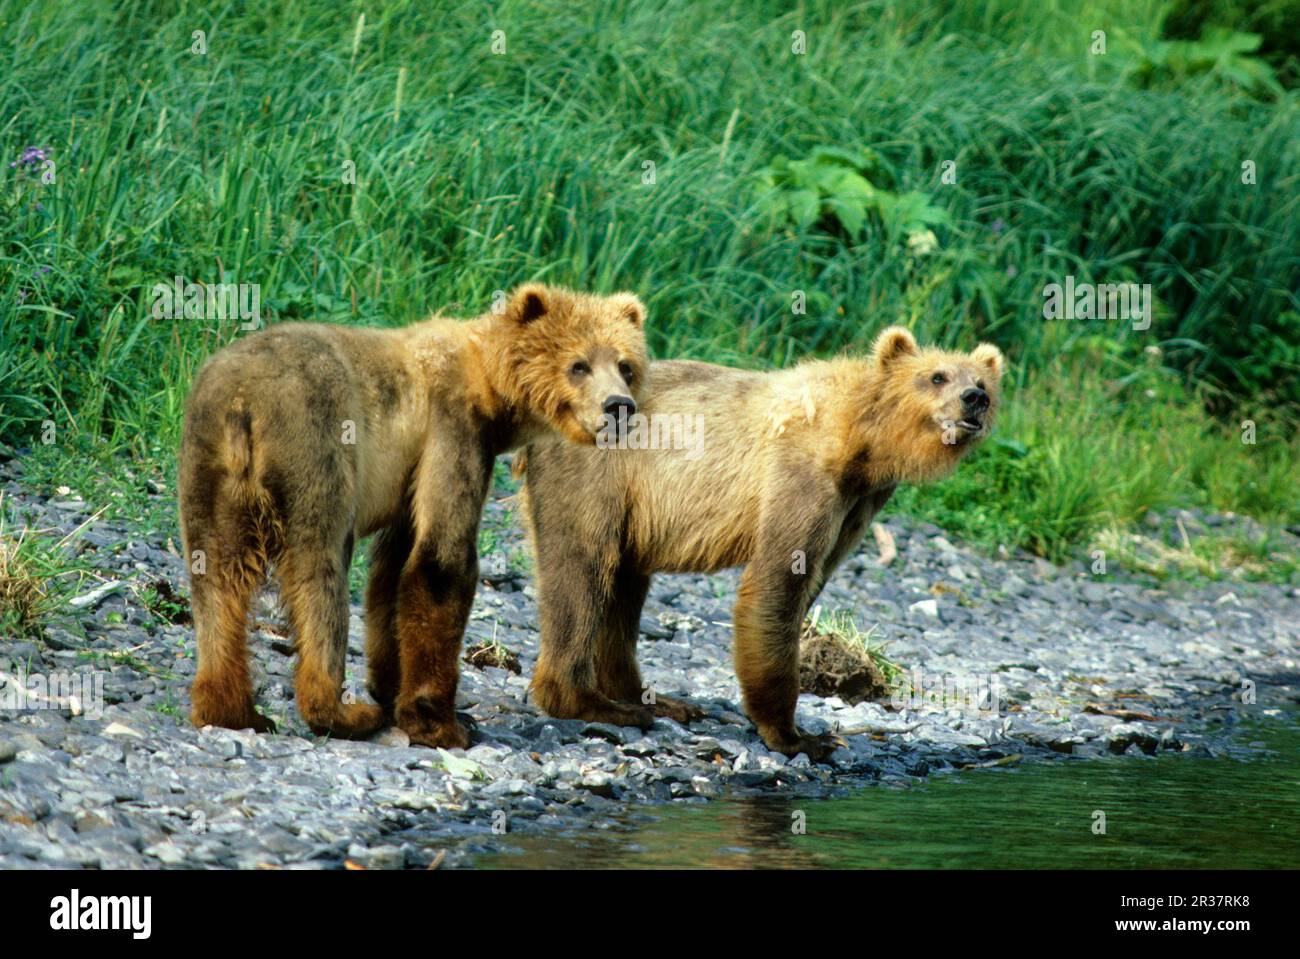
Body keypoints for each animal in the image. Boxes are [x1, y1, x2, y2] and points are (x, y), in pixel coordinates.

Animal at [180, 281, 647, 748]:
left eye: (625, 365)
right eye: (579, 365)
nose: (618, 406)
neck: (490, 391)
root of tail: (244, 402)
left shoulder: (411, 473)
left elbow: (392, 571)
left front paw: (393, 691)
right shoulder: (454, 428)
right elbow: (441, 560)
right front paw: (441, 721)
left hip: (208, 463)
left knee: (217, 579)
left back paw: (233, 709)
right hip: (315, 442)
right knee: (320, 569)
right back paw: (340, 711)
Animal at [517, 324, 1003, 758]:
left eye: (981, 381)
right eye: (937, 376)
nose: (974, 399)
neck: (860, 442)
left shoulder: (857, 505)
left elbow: (812, 581)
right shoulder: (801, 476)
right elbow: (777, 584)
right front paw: (798, 735)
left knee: (623, 585)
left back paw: (652, 700)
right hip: (596, 473)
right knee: (582, 570)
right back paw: (590, 702)